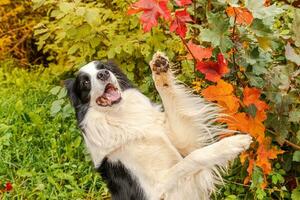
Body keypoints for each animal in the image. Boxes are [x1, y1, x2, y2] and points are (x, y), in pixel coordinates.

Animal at [66, 52, 253, 200]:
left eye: (103, 67)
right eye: (85, 82)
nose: (104, 74)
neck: (122, 116)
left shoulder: (183, 145)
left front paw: (159, 71)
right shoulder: (157, 189)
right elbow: (193, 158)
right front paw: (233, 144)